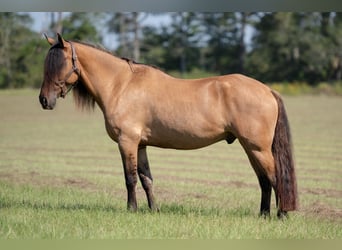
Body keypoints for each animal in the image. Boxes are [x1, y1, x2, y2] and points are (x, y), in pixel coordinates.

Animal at [39, 33, 296, 217]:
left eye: (59, 64)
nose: (44, 100)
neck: (121, 85)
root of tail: (267, 90)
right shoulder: (140, 145)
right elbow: (146, 179)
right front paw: (154, 210)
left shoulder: (127, 142)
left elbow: (130, 178)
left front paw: (131, 210)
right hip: (251, 148)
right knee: (264, 180)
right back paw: (263, 215)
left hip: (257, 148)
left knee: (274, 178)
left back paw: (281, 215)